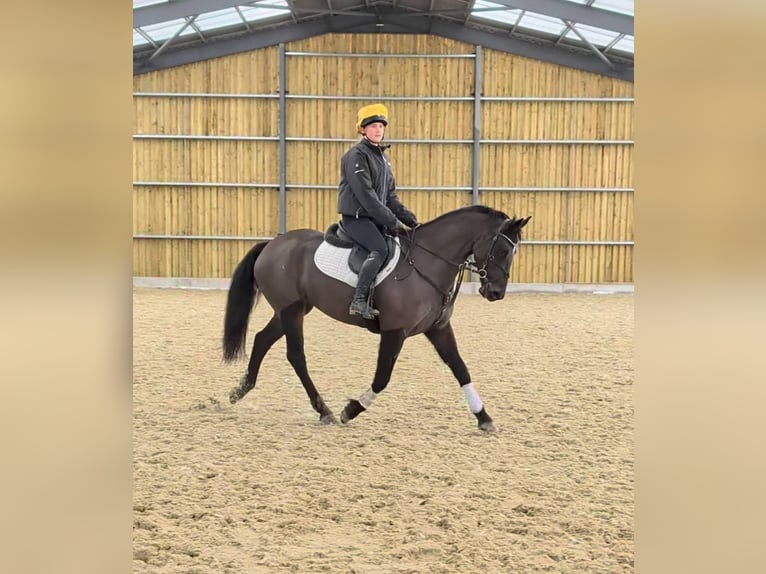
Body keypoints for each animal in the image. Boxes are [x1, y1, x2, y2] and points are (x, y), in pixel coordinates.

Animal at [222, 205, 531, 432]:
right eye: (502, 250)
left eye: (514, 251)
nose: (496, 292)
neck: (426, 263)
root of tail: (272, 244)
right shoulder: (395, 331)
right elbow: (382, 377)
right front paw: (351, 410)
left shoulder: (439, 329)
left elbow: (460, 369)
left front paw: (484, 418)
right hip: (291, 311)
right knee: (296, 355)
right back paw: (325, 411)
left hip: (291, 309)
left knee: (262, 340)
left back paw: (239, 391)